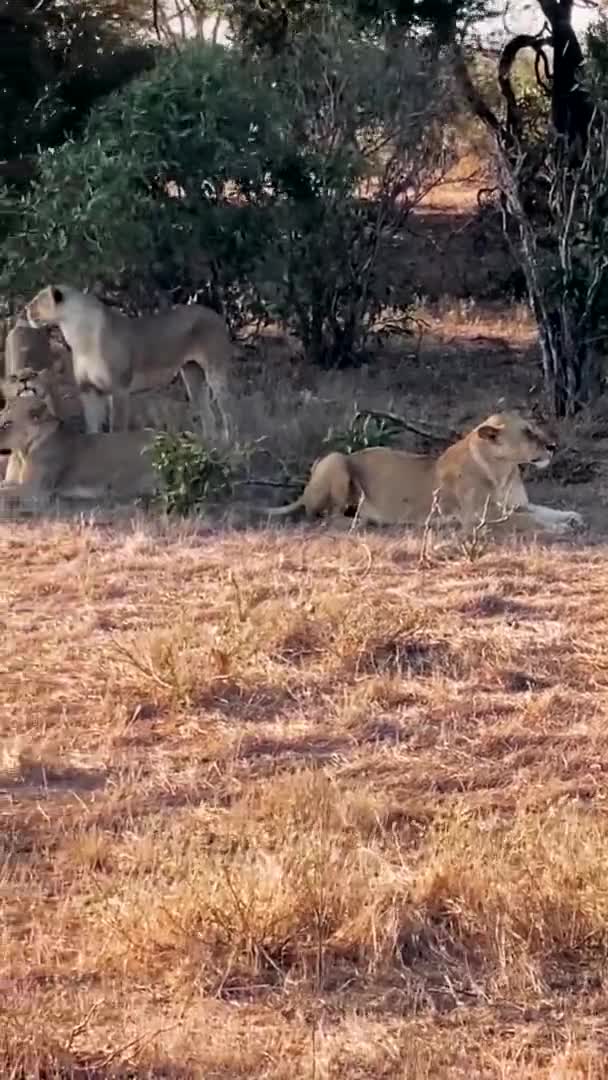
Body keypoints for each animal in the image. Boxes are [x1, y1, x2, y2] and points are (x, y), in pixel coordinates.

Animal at [0, 393, 159, 505]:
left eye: (7, 424)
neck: (21, 452)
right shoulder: (14, 482)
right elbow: (4, 486)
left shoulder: (35, 491)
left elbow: (4, 492)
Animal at [24, 285, 233, 444]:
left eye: (37, 300)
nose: (26, 309)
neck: (78, 336)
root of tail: (214, 313)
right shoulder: (89, 389)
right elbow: (92, 426)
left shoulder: (119, 388)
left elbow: (117, 426)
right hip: (192, 371)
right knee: (206, 411)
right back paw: (209, 444)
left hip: (215, 368)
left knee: (228, 407)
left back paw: (232, 442)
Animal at [267, 408, 583, 535]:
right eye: (528, 432)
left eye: (535, 428)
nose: (553, 446)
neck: (504, 469)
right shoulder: (481, 518)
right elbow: (528, 521)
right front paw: (559, 529)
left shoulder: (517, 505)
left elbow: (545, 511)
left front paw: (572, 517)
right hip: (335, 459)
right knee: (323, 516)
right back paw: (363, 521)